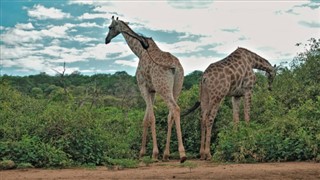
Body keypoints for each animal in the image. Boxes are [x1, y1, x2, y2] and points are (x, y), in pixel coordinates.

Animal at [104, 16, 188, 163]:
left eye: (110, 27)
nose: (106, 40)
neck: (140, 51)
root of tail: (175, 67)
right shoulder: (152, 90)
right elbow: (146, 118)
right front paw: (143, 152)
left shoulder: (143, 86)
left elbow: (150, 118)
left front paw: (153, 153)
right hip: (176, 87)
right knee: (171, 114)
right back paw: (166, 154)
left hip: (163, 88)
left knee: (175, 108)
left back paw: (182, 154)